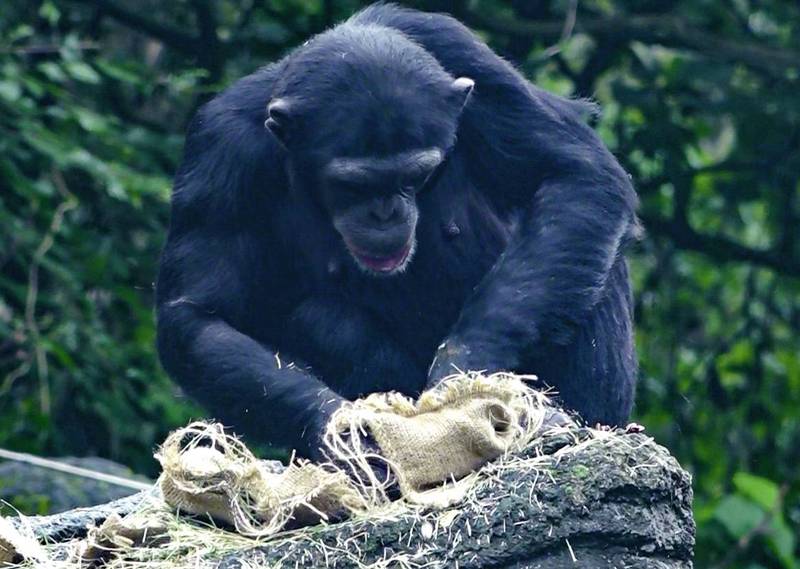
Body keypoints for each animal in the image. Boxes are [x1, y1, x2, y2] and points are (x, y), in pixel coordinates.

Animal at [158, 3, 636, 462]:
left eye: (415, 175)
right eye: (352, 185)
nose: (385, 213)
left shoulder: (469, 58)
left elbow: (575, 172)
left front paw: (463, 376)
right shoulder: (221, 152)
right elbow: (199, 316)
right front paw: (341, 428)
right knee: (321, 319)